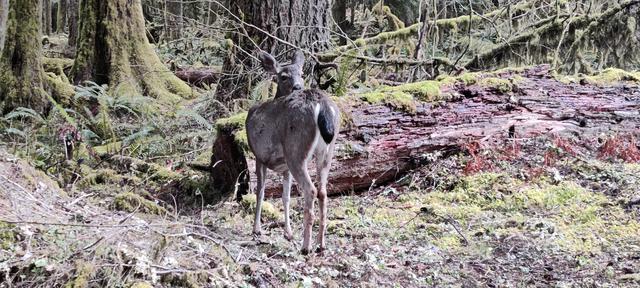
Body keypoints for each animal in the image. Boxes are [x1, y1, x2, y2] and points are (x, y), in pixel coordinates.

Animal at [246, 51, 340, 254]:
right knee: (323, 191)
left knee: (310, 189)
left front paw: (256, 229)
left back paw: (306, 247)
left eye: (302, 74)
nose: (298, 86)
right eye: (283, 76)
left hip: (296, 149)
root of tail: (321, 104)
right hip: (327, 150)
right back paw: (321, 244)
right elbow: (285, 197)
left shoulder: (259, 156)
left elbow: (261, 192)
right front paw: (288, 232)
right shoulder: (284, 167)